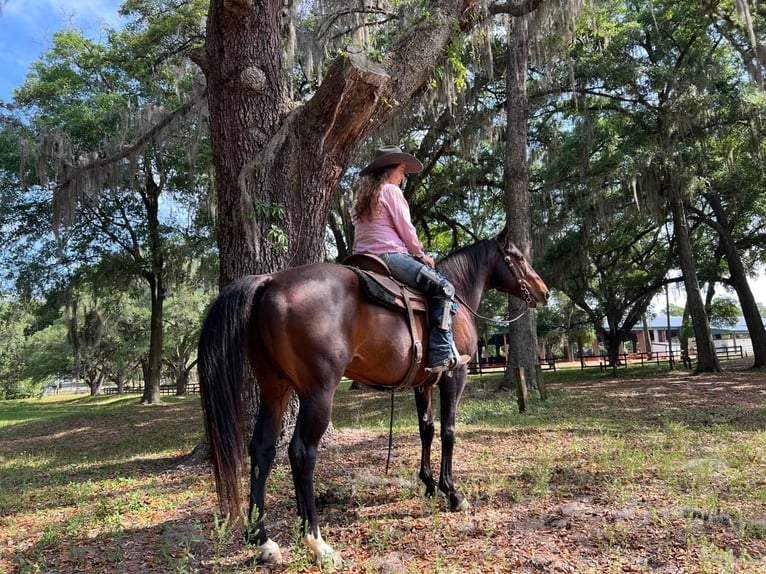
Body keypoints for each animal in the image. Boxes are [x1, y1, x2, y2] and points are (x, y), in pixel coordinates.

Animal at [195, 227, 548, 568]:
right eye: (517, 257)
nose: (544, 291)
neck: (456, 299)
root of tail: (270, 281)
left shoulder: (423, 384)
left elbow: (426, 430)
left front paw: (428, 484)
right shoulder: (453, 376)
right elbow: (448, 432)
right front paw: (452, 492)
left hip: (274, 388)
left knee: (262, 450)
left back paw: (263, 540)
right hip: (318, 393)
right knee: (302, 453)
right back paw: (318, 544)